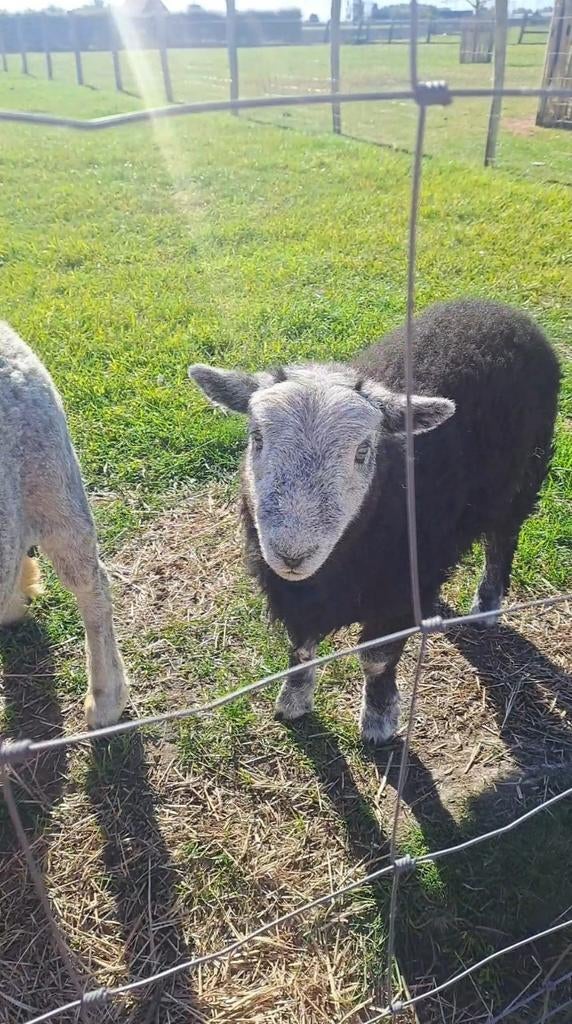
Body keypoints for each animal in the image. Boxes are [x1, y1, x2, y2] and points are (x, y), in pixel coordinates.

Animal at [189, 299, 560, 744]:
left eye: (363, 451)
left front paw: (379, 719)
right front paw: (293, 701)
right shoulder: (295, 593)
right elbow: (301, 648)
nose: (291, 555)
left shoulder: (396, 587)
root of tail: (496, 307)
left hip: (525, 471)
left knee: (501, 539)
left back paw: (487, 605)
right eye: (256, 438)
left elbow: (377, 660)